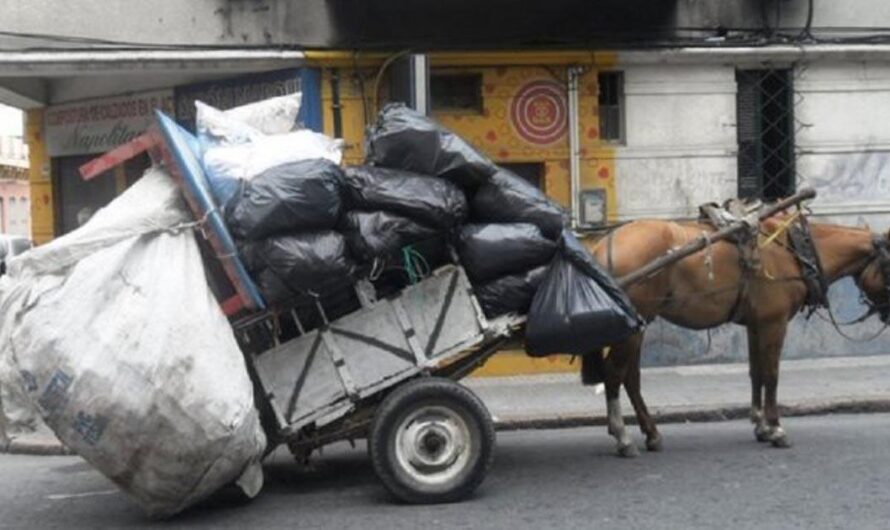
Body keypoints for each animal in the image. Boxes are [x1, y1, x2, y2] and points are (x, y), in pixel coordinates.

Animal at [580, 213, 888, 454]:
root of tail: (603, 245)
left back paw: (651, 434)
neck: (794, 250)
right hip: (633, 325)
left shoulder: (756, 323)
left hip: (638, 324)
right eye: (889, 267)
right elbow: (772, 375)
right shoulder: (774, 323)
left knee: (630, 377)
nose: (887, 316)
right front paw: (776, 429)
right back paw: (622, 436)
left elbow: (757, 373)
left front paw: (761, 426)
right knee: (615, 373)